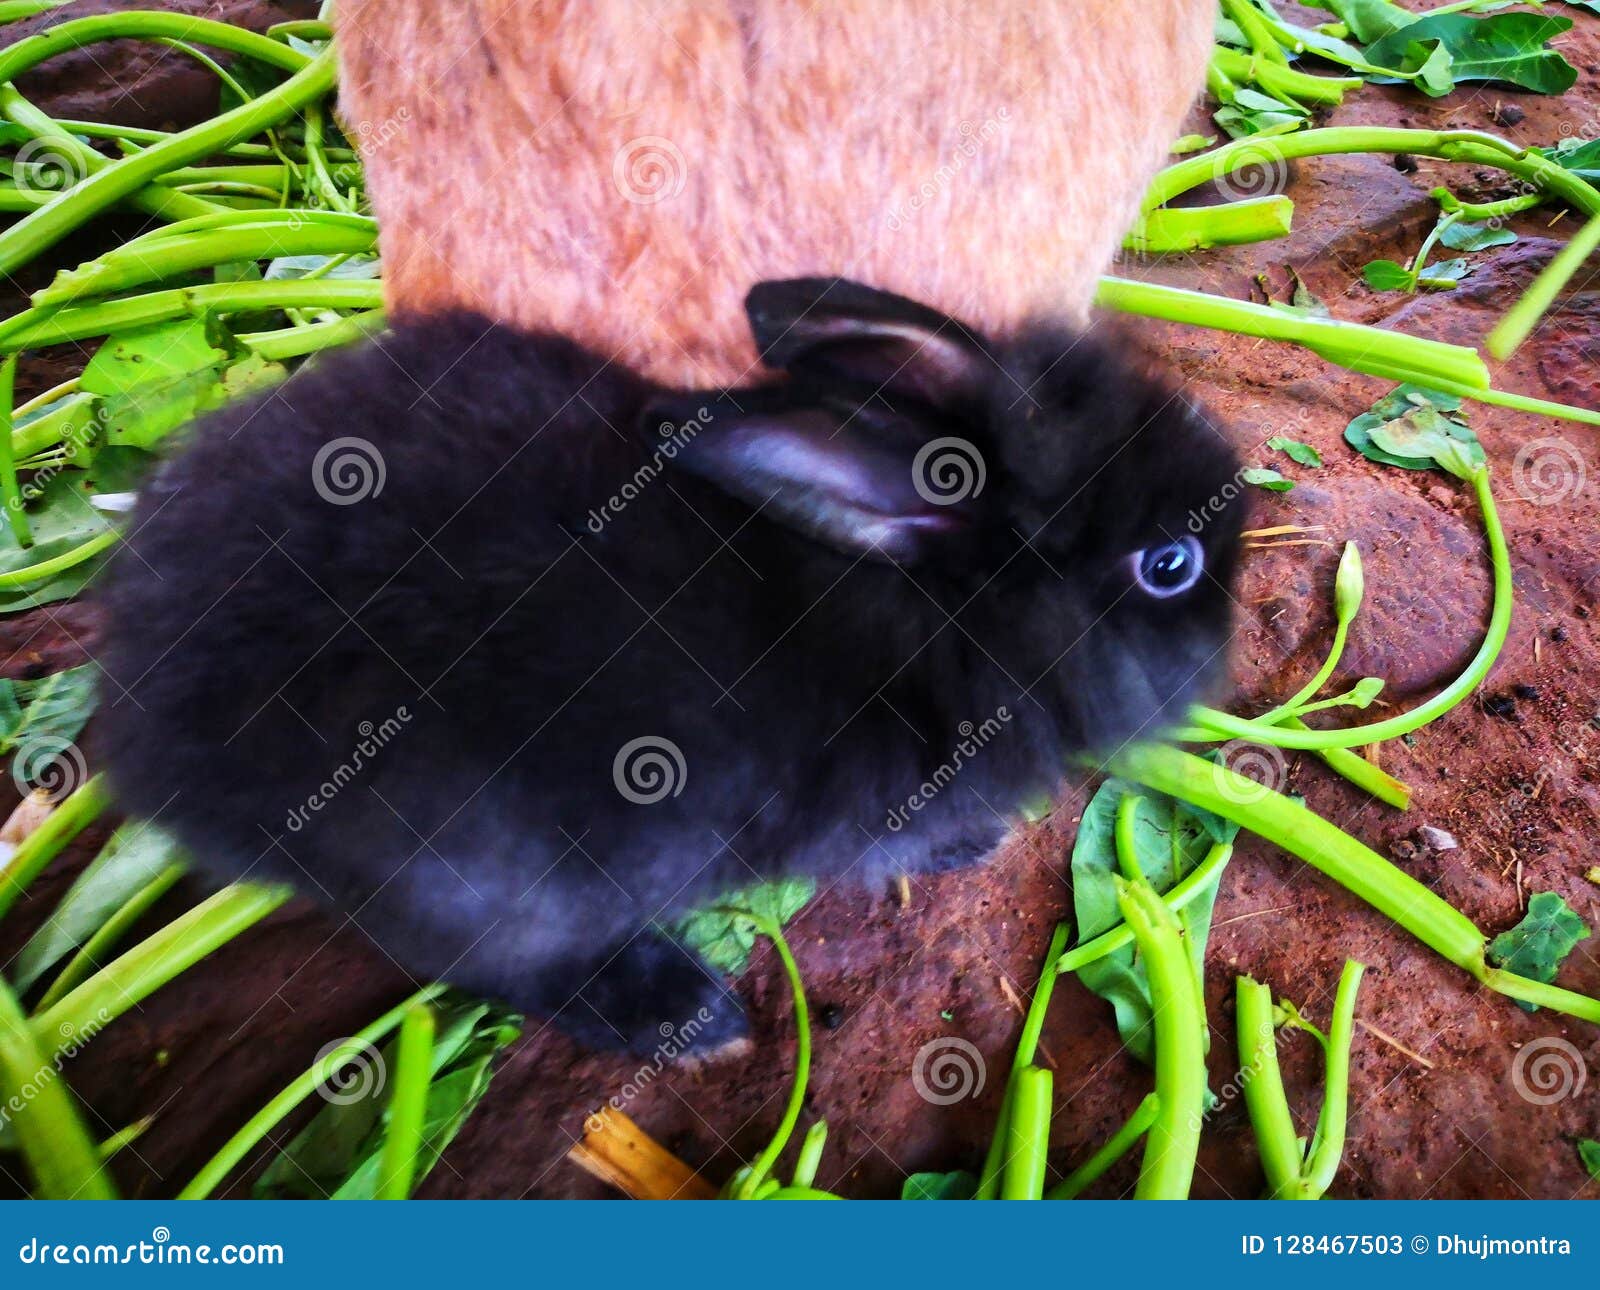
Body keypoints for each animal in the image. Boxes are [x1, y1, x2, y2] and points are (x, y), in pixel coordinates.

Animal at [95, 277, 1244, 1055]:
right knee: (506, 963)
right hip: (488, 877)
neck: (942, 614)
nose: (1229, 625)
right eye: (1170, 566)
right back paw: (686, 1017)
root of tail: (148, 731)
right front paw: (973, 844)